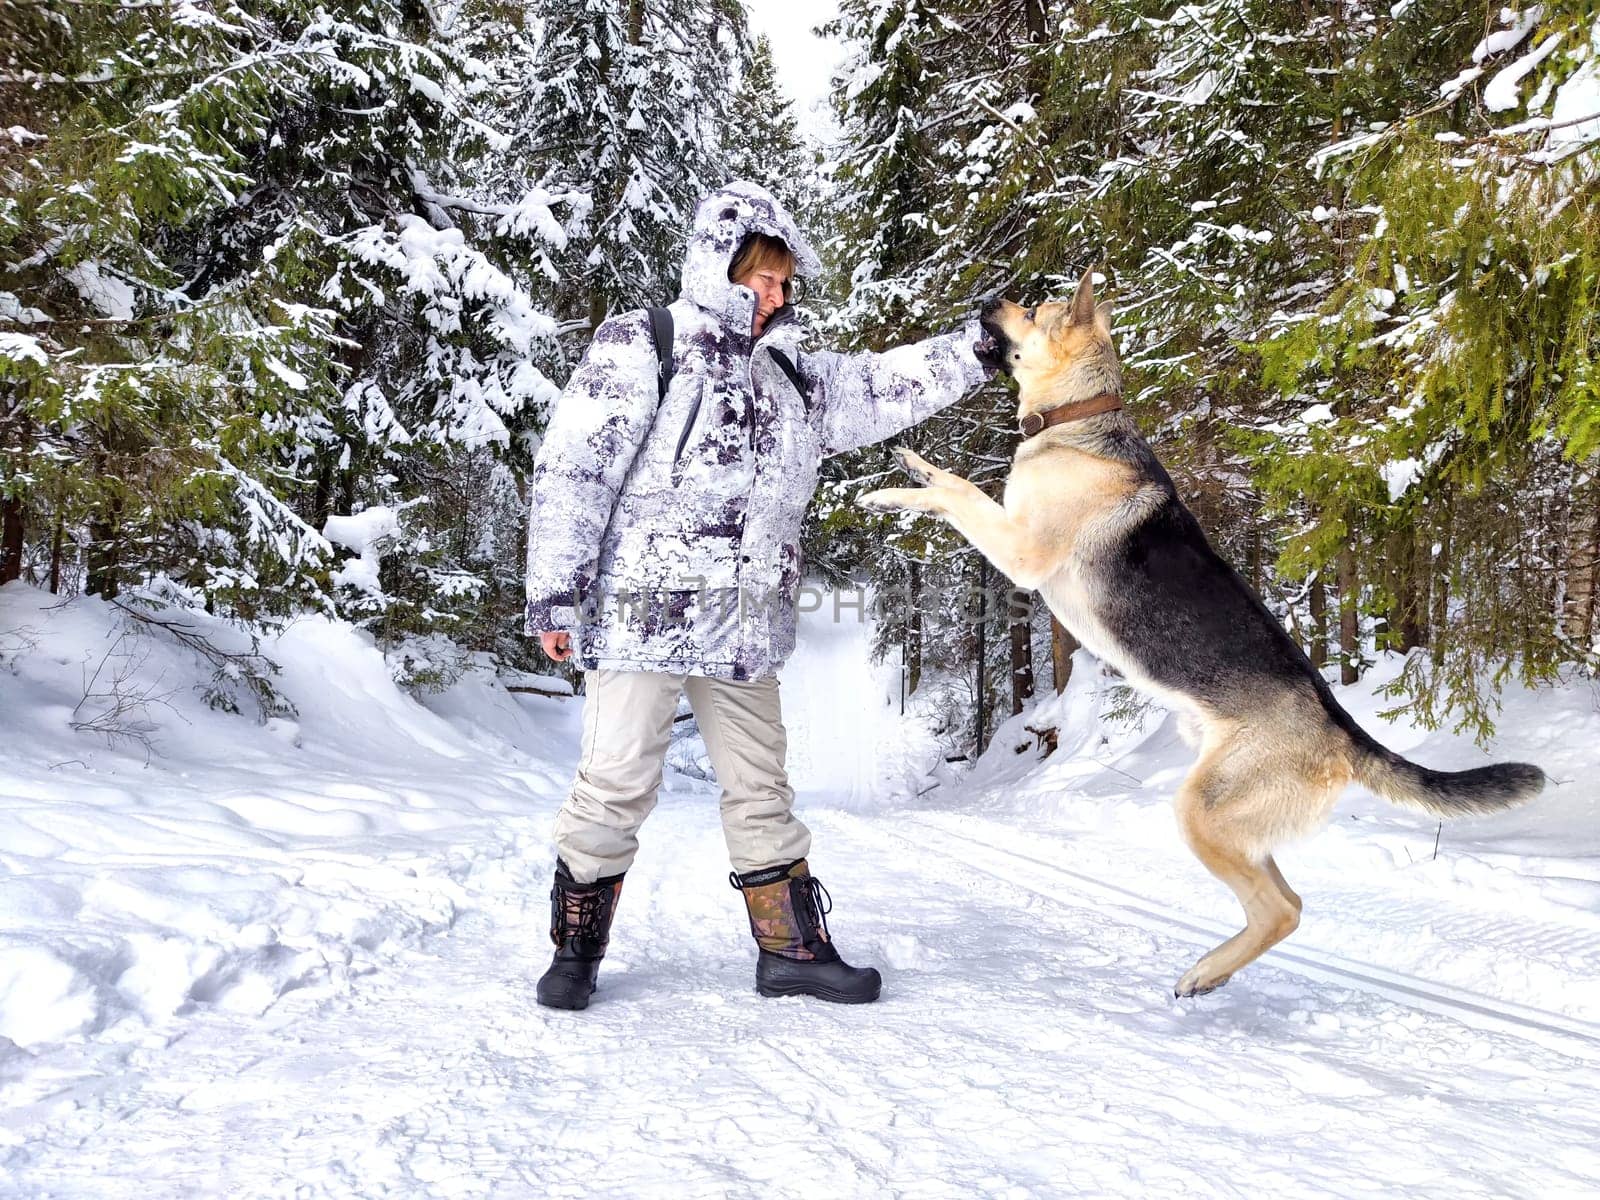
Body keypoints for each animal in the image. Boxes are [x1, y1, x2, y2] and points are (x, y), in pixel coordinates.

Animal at [864, 270, 1548, 998]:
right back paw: (1217, 969)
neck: (1079, 416)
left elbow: (958, 492)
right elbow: (945, 478)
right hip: (1235, 822)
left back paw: (1202, 973)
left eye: (1033, 309)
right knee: (1290, 902)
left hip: (1200, 811)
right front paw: (907, 462)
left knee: (1279, 910)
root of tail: (1339, 730)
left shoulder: (1021, 550)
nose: (992, 296)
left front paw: (890, 498)